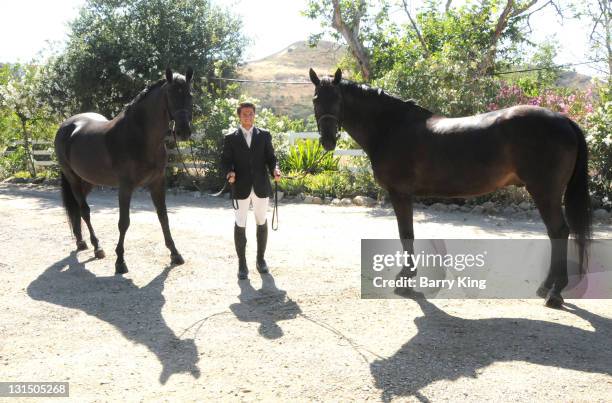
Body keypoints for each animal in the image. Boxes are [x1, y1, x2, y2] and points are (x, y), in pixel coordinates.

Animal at [55, 68, 194, 274]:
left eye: (190, 94)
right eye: (170, 94)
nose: (184, 131)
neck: (139, 136)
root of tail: (66, 126)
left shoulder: (157, 183)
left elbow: (163, 217)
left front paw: (175, 253)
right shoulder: (125, 187)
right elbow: (124, 222)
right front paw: (120, 261)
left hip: (87, 180)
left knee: (78, 209)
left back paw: (81, 242)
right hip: (73, 178)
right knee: (85, 210)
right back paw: (97, 247)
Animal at [308, 69, 592, 310]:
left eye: (337, 99)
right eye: (315, 100)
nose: (328, 140)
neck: (391, 127)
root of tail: (564, 119)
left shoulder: (400, 193)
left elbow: (406, 234)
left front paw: (405, 280)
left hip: (545, 192)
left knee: (558, 232)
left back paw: (554, 293)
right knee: (555, 234)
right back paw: (546, 287)